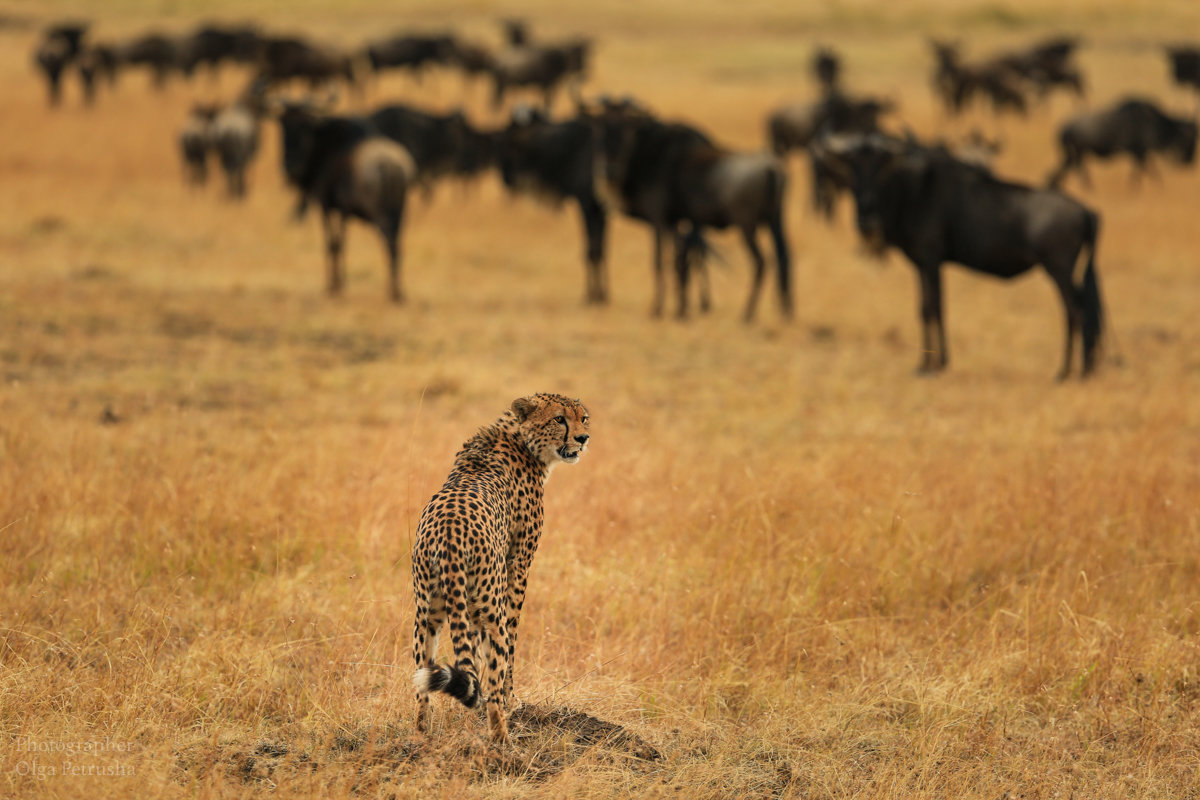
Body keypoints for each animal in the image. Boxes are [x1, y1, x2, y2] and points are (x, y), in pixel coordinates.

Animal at [410, 393, 588, 743]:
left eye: (583, 417)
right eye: (560, 419)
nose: (583, 438)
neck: (521, 440)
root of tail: (449, 530)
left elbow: (472, 649)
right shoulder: (517, 567)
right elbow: (510, 639)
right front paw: (512, 698)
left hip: (428, 610)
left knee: (422, 677)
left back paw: (420, 735)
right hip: (490, 603)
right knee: (496, 662)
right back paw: (501, 737)